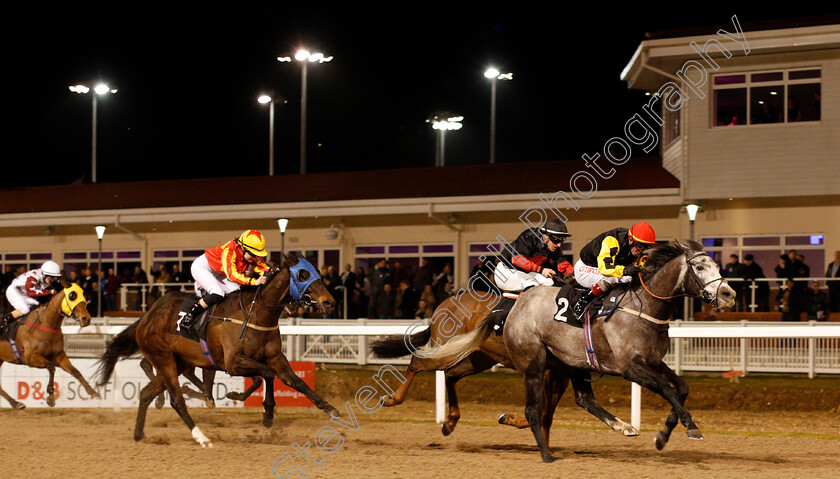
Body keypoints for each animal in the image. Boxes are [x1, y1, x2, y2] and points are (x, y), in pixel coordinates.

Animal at [95, 253, 338, 448]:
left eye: (317, 272)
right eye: (303, 275)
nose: (329, 302)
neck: (255, 314)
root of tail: (147, 316)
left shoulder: (275, 357)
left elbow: (296, 381)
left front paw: (329, 408)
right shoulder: (233, 362)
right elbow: (267, 375)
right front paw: (267, 414)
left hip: (176, 362)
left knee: (146, 393)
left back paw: (139, 434)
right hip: (164, 358)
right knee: (176, 400)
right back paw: (201, 437)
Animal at [430, 242, 740, 464]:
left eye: (716, 264)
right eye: (699, 267)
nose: (729, 295)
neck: (643, 308)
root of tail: (513, 307)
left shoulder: (653, 361)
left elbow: (682, 388)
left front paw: (663, 435)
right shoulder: (630, 367)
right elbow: (667, 389)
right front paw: (690, 427)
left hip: (569, 362)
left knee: (583, 399)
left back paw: (622, 426)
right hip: (534, 362)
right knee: (534, 408)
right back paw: (546, 455)